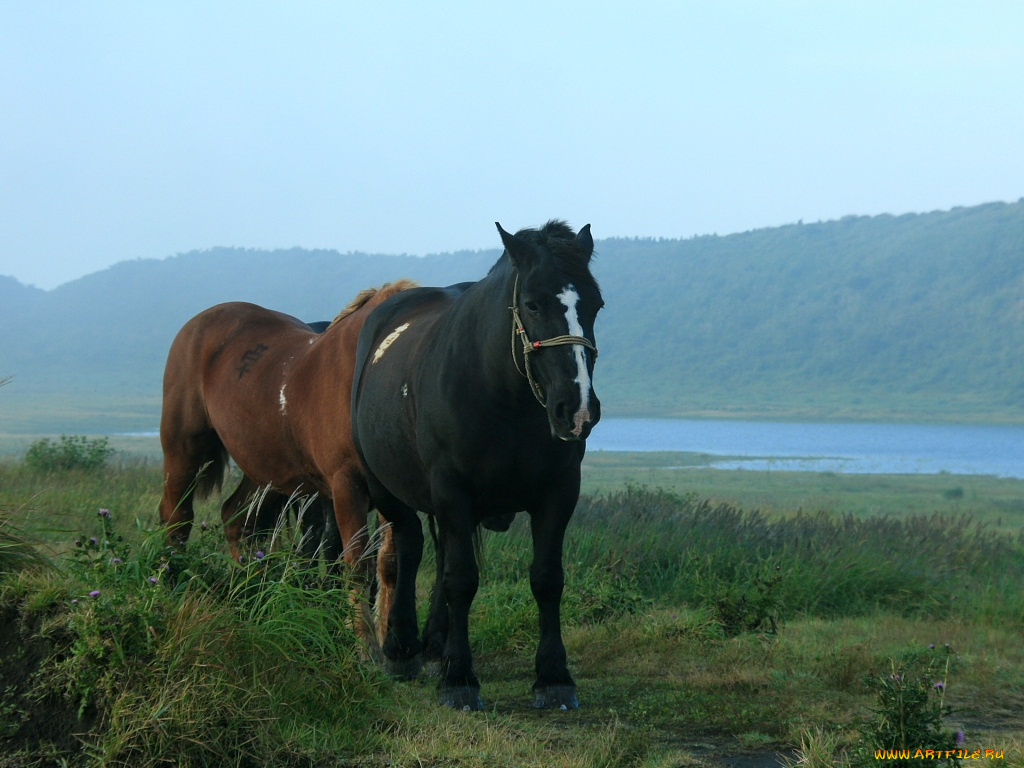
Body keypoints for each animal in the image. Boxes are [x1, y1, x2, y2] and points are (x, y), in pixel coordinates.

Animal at [157, 280, 413, 651]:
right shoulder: (346, 487)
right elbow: (356, 564)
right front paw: (364, 649)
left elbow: (389, 562)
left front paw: (389, 644)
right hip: (184, 448)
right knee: (177, 519)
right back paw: (170, 585)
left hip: (265, 471)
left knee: (239, 521)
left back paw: (250, 596)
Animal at [352, 219, 598, 712]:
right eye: (533, 303)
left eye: (596, 305)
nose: (577, 409)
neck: (502, 397)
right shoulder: (451, 491)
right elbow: (461, 580)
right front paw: (459, 679)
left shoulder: (559, 492)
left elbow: (547, 578)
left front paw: (553, 677)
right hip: (387, 488)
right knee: (409, 547)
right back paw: (403, 649)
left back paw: (434, 647)